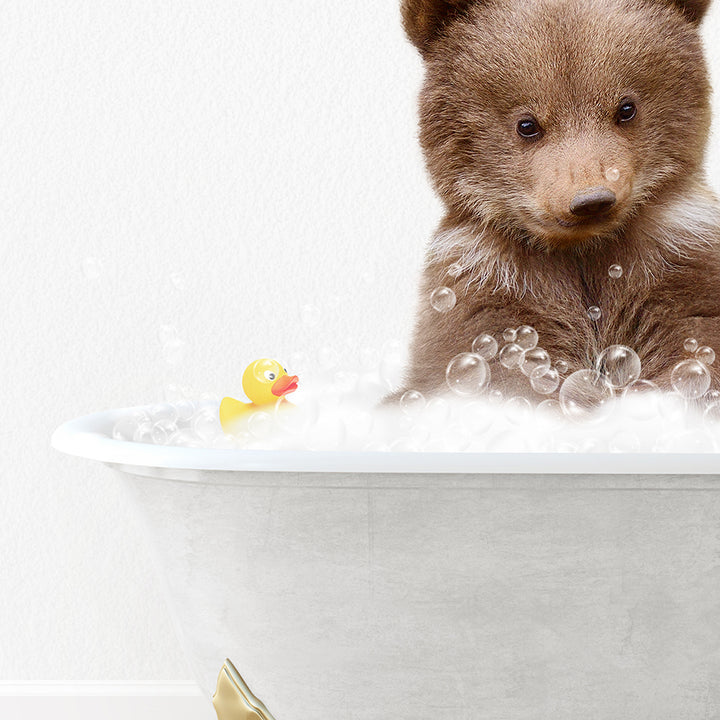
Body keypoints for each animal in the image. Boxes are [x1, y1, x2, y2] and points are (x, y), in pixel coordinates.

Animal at [396, 0, 720, 400]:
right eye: (527, 124)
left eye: (626, 108)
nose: (592, 199)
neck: (582, 250)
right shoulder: (492, 289)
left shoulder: (677, 263)